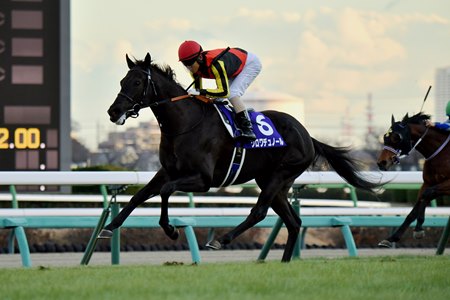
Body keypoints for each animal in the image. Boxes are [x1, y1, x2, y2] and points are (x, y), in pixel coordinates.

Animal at [378, 112, 448, 246]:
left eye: (396, 137)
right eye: (385, 137)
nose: (381, 163)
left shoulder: (447, 185)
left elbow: (427, 194)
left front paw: (419, 228)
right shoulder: (428, 183)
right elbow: (416, 208)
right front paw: (392, 238)